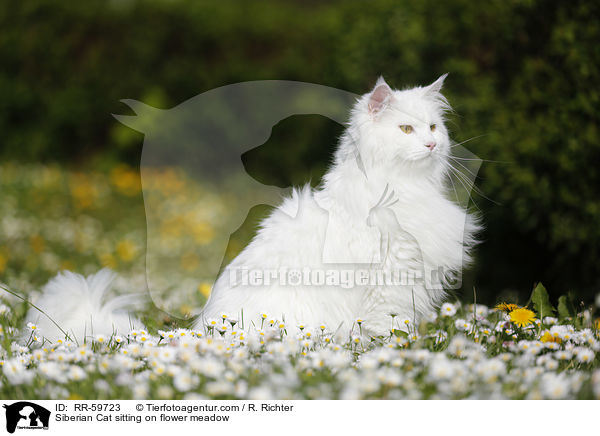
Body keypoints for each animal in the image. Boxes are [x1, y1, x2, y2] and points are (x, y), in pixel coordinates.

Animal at [197, 76, 478, 338]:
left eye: (433, 127)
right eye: (406, 129)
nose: (432, 144)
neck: (405, 185)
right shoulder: (391, 278)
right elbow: (390, 327)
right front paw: (399, 347)